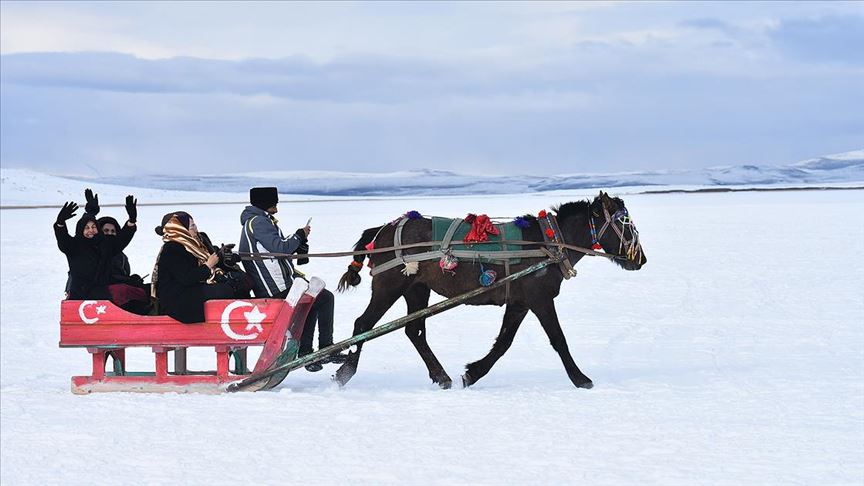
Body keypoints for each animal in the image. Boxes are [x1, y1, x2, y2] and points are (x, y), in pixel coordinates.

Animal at [334, 192, 644, 390]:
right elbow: (558, 339)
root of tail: (381, 231)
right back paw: (344, 373)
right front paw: (581, 379)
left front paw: (472, 373)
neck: (549, 243)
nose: (641, 259)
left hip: (416, 288)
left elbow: (504, 342)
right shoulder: (540, 299)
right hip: (389, 286)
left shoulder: (519, 302)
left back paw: (441, 376)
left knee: (414, 331)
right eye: (625, 225)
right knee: (363, 325)